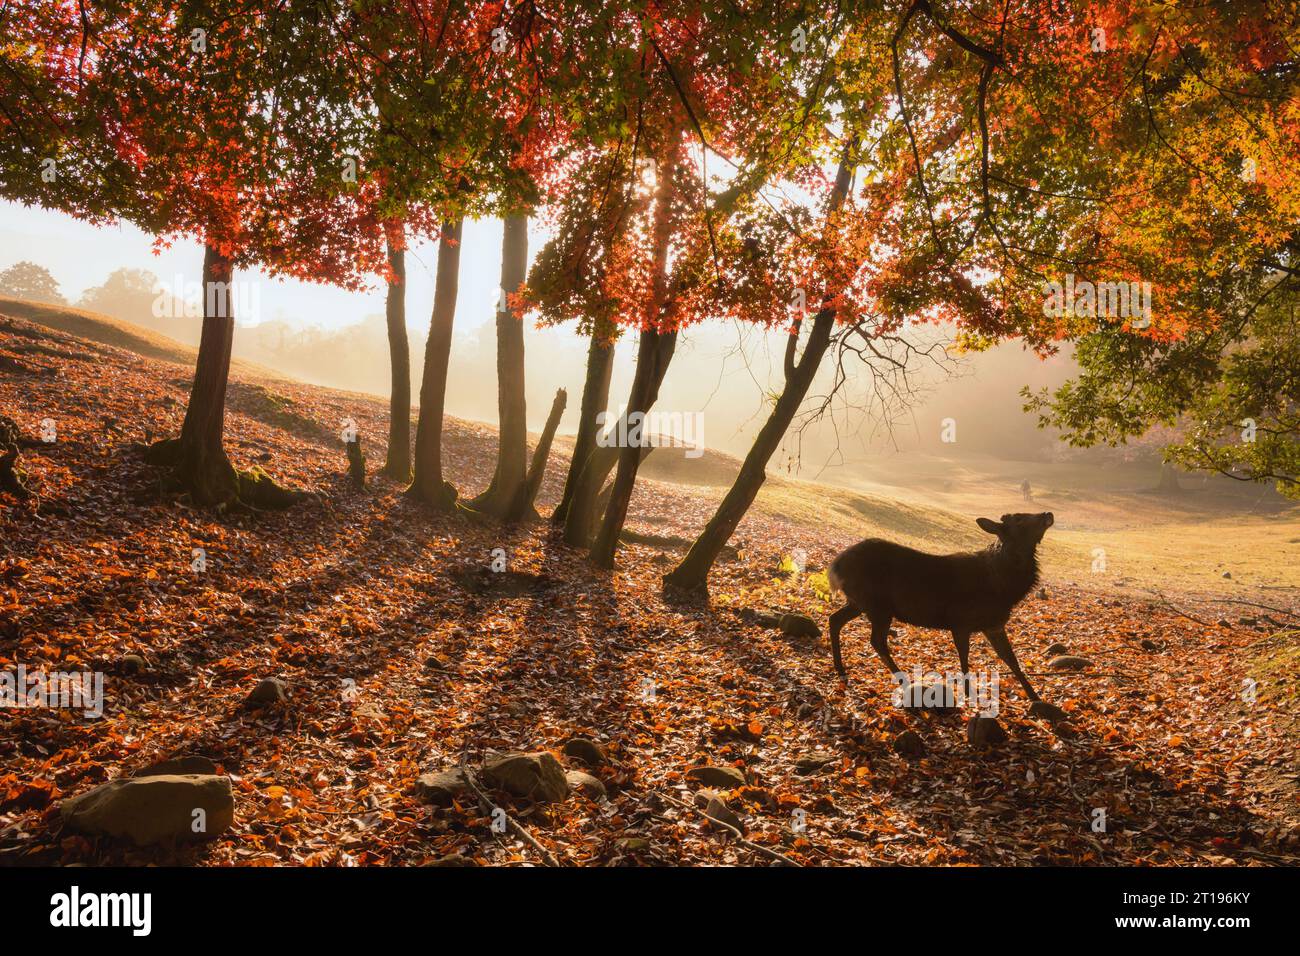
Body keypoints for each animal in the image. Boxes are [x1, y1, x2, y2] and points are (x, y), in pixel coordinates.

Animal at [826, 515, 1060, 712]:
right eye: (1019, 519)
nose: (1047, 514)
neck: (1004, 588)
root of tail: (835, 567)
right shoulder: (961, 622)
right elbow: (965, 658)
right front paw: (968, 694)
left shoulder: (994, 625)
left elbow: (1011, 659)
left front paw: (1035, 696)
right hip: (878, 605)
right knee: (876, 640)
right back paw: (906, 682)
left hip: (859, 603)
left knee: (835, 619)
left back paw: (840, 668)